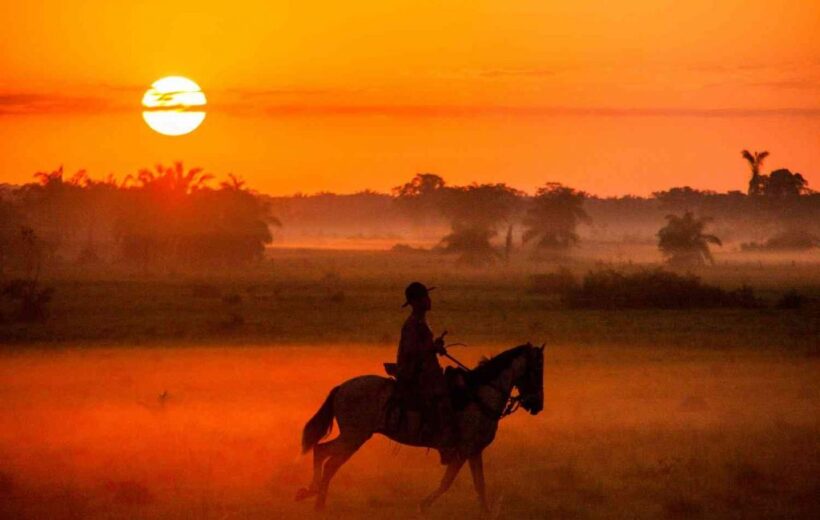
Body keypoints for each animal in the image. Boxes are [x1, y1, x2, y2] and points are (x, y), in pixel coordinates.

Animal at [296, 342, 544, 512]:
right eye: (536, 370)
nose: (537, 405)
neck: (480, 395)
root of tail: (342, 387)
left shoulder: (474, 451)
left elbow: (479, 485)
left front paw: (486, 512)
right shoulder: (464, 449)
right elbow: (447, 482)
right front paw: (423, 505)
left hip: (352, 437)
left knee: (324, 455)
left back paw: (315, 498)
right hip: (353, 437)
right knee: (327, 457)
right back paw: (314, 496)